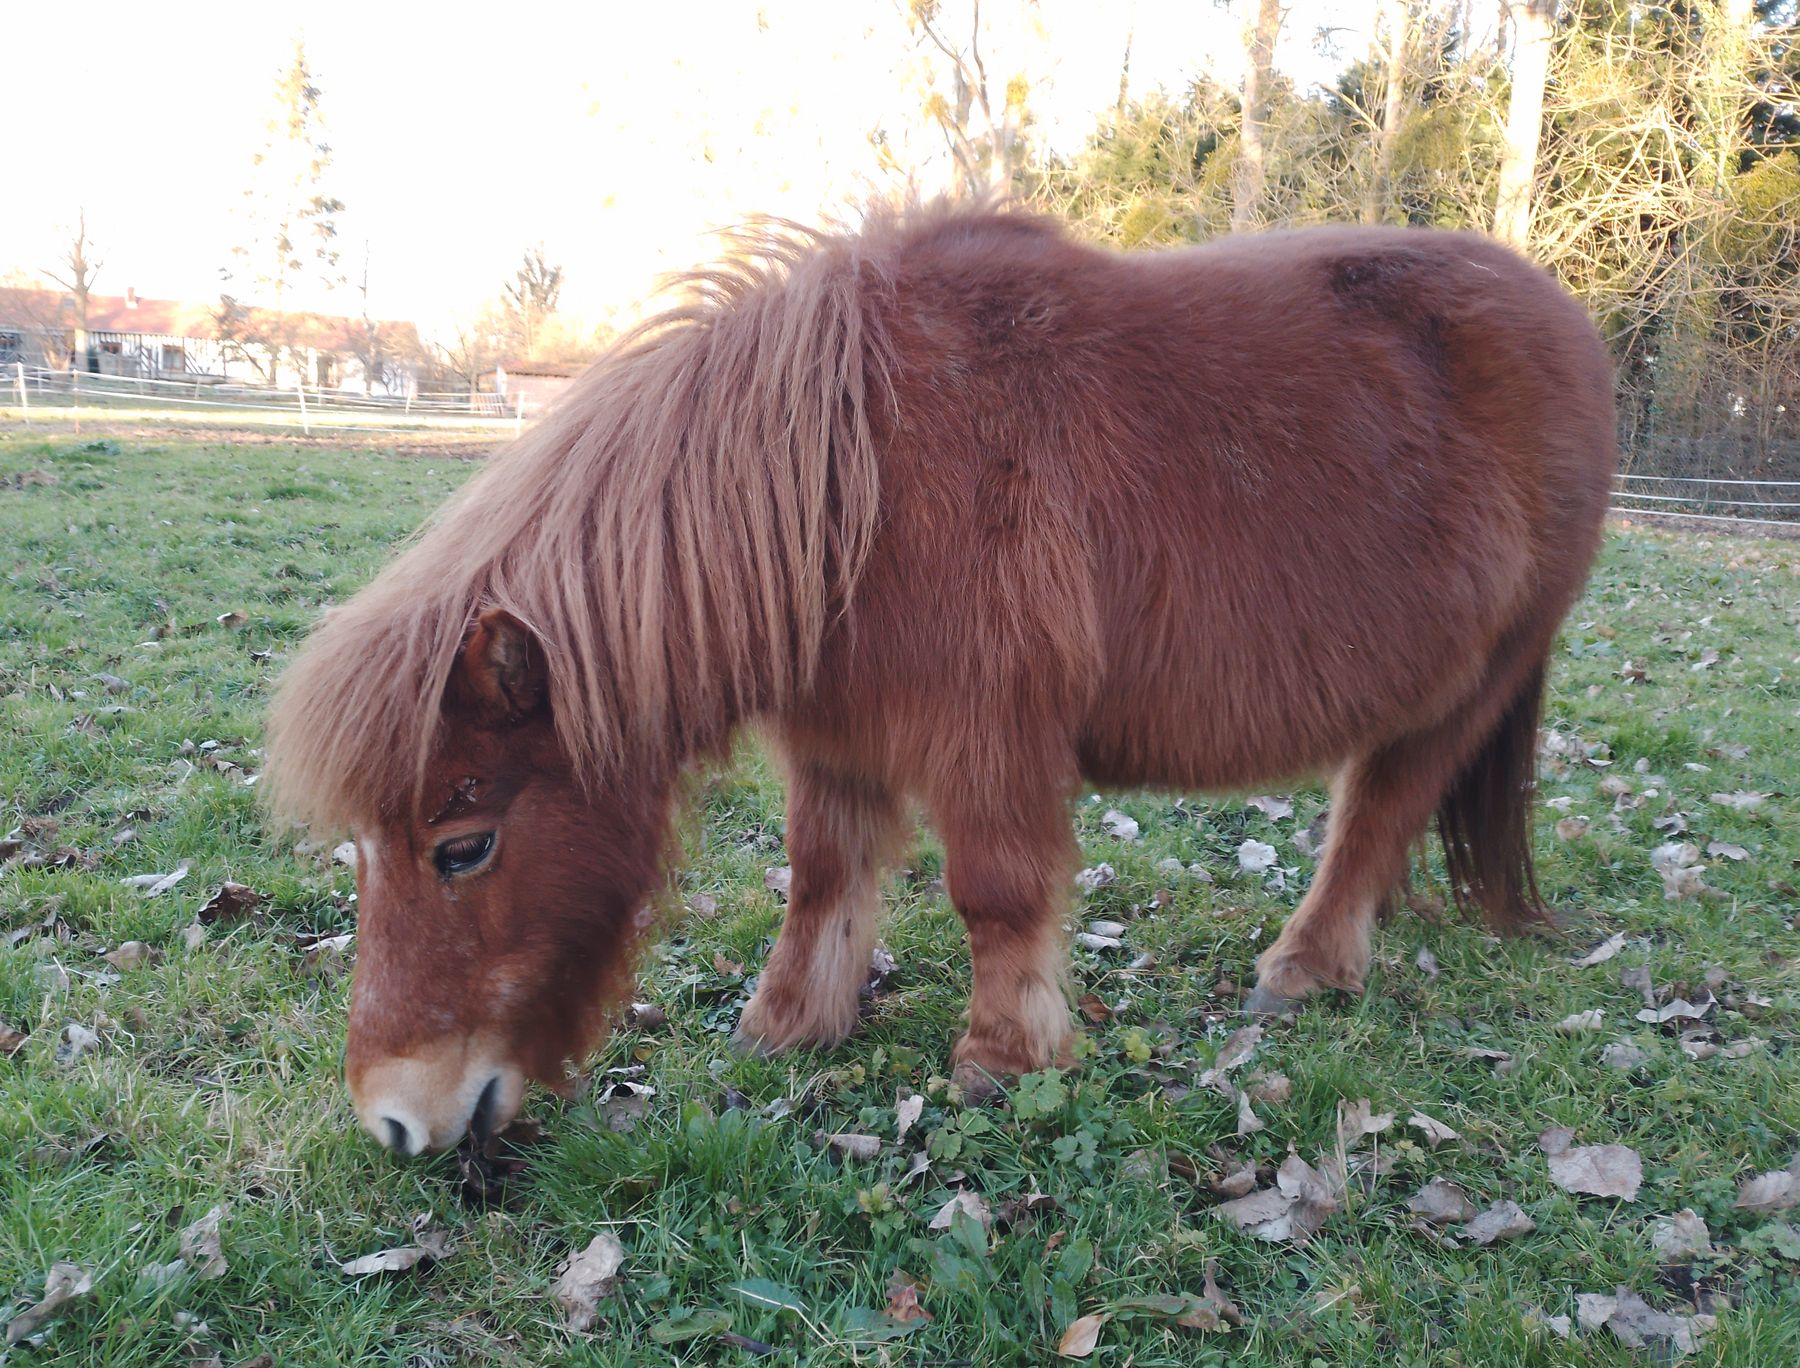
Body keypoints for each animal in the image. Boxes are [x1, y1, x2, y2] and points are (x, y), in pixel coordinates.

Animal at [263, 201, 1615, 1155]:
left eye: (463, 847)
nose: (393, 1122)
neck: (855, 479)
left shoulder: (988, 739)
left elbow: (996, 894)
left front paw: (1002, 1060)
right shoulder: (838, 740)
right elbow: (821, 880)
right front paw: (788, 1027)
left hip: (1468, 687)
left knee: (1376, 815)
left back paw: (1307, 969)